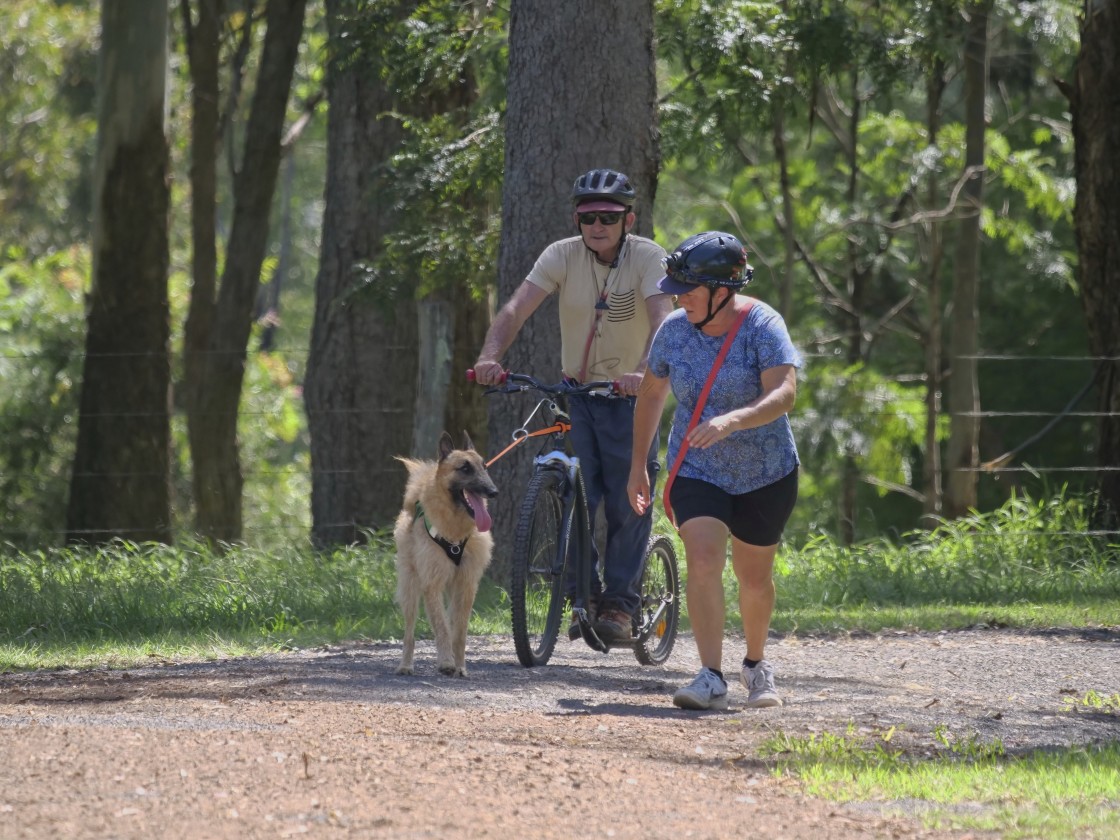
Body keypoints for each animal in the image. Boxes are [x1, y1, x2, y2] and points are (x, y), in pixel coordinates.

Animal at [396, 434, 497, 676]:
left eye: (484, 466)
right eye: (464, 468)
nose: (493, 491)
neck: (455, 531)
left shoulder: (466, 586)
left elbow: (459, 633)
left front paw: (459, 666)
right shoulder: (432, 584)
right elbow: (441, 628)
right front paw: (446, 663)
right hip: (410, 589)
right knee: (409, 634)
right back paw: (405, 665)